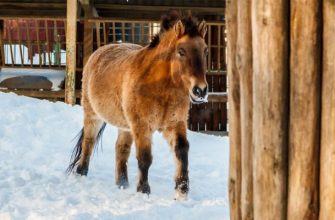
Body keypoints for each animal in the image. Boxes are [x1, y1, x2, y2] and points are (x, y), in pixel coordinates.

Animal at [67, 14, 209, 199]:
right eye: (181, 51)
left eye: (205, 50)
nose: (200, 90)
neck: (160, 87)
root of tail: (99, 52)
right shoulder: (142, 126)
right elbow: (145, 158)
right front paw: (143, 190)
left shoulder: (175, 124)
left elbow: (182, 151)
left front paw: (182, 191)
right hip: (93, 115)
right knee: (88, 143)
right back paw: (82, 173)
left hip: (125, 126)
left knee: (121, 149)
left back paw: (122, 184)